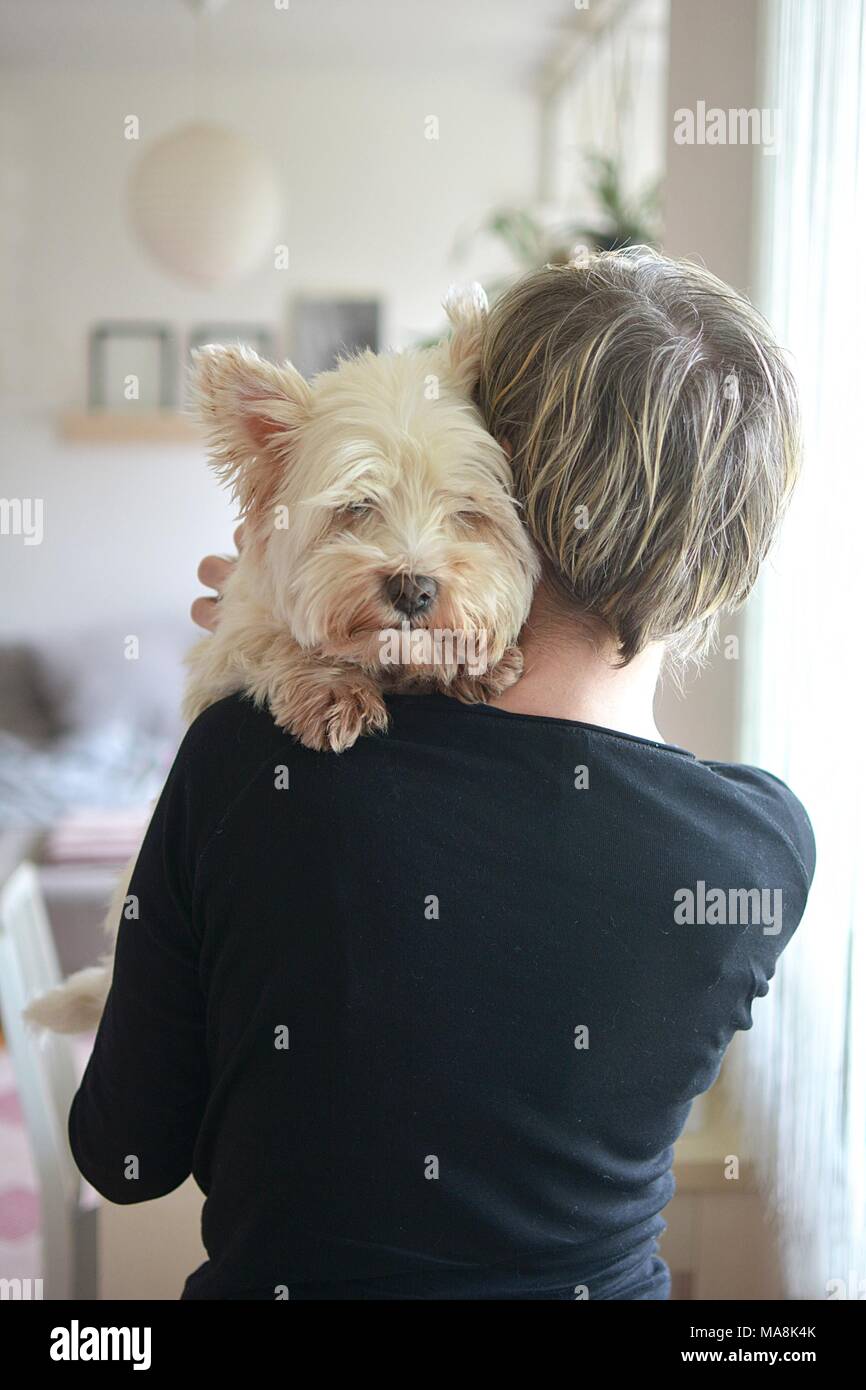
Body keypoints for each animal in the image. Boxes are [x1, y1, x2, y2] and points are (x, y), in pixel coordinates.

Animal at [27, 287, 539, 1034]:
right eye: (356, 506)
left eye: (465, 510)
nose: (414, 589)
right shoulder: (229, 643)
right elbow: (280, 643)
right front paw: (333, 691)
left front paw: (474, 661)